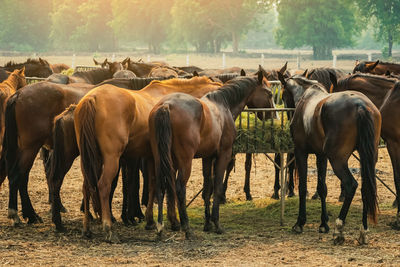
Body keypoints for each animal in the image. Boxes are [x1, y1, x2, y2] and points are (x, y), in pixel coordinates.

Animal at [72, 76, 222, 242]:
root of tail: (92, 98)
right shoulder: (171, 159)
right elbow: (168, 185)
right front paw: (173, 221)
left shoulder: (151, 157)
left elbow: (153, 184)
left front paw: (151, 221)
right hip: (111, 159)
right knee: (103, 185)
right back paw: (109, 229)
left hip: (90, 159)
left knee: (86, 187)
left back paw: (87, 229)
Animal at [148, 70, 276, 239]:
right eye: (269, 93)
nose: (272, 117)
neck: (223, 105)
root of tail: (166, 105)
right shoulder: (223, 155)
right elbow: (217, 187)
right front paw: (216, 223)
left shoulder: (207, 157)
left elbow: (207, 189)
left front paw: (207, 224)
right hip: (185, 162)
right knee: (180, 188)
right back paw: (187, 228)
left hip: (160, 158)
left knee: (160, 186)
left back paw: (160, 227)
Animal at [278, 72, 382, 246]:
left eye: (283, 94)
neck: (306, 96)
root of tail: (360, 105)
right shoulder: (321, 155)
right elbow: (322, 188)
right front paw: (323, 224)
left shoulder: (301, 152)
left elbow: (303, 187)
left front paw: (300, 223)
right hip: (367, 159)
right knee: (365, 188)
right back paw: (363, 231)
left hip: (337, 160)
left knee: (351, 185)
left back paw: (339, 229)